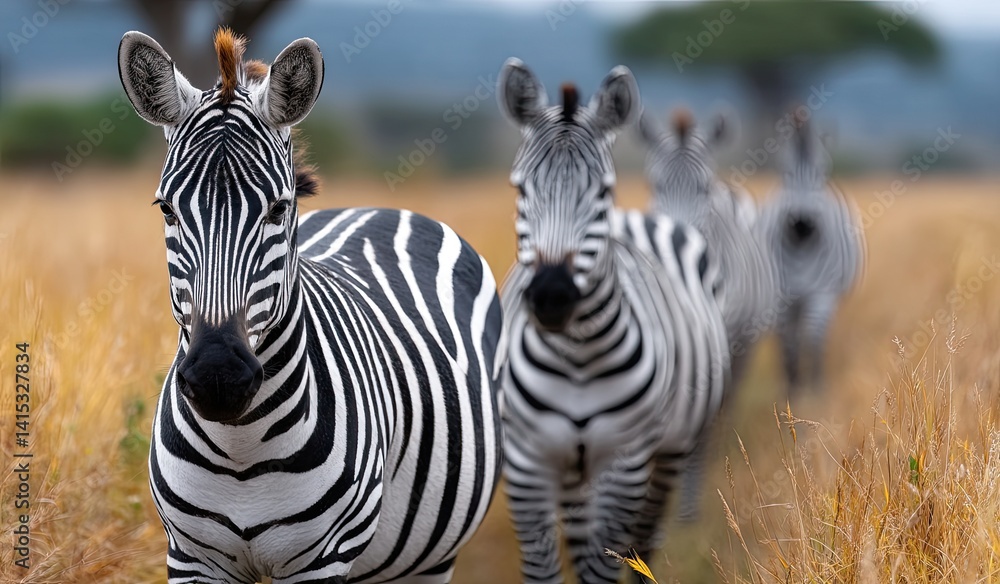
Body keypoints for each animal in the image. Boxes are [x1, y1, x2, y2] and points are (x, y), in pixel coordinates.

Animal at [118, 28, 503, 583]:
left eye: (279, 209)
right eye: (166, 209)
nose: (217, 377)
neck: (240, 448)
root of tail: (379, 208)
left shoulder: (324, 559)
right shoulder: (191, 556)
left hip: (429, 559)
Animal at [496, 58, 728, 583]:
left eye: (602, 192)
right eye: (520, 188)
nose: (552, 296)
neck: (577, 355)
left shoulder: (625, 464)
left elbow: (606, 564)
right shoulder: (526, 462)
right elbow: (545, 568)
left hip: (670, 448)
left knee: (646, 538)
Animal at [758, 112, 864, 394]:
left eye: (822, 171)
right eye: (784, 172)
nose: (803, 226)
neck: (800, 252)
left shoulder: (822, 293)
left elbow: (815, 340)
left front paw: (816, 388)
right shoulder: (782, 299)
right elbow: (788, 345)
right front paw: (792, 388)